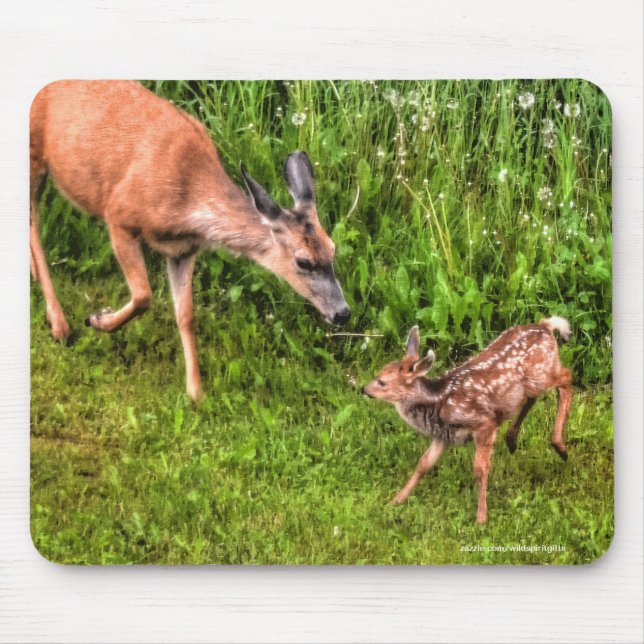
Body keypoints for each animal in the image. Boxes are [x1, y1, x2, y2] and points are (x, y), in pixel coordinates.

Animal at [29, 80, 350, 400]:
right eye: (303, 261)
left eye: (333, 250)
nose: (342, 314)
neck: (185, 201)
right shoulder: (119, 214)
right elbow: (144, 295)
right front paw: (98, 320)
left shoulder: (183, 251)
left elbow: (186, 315)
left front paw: (196, 392)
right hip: (34, 152)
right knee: (33, 223)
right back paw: (59, 324)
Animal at [362, 317, 573, 523]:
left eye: (382, 382)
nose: (363, 389)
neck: (439, 402)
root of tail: (545, 325)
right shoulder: (444, 434)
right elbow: (423, 464)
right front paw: (395, 500)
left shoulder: (484, 425)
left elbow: (480, 469)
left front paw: (481, 518)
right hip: (531, 384)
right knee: (532, 397)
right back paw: (512, 439)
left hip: (539, 375)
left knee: (566, 377)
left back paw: (560, 447)